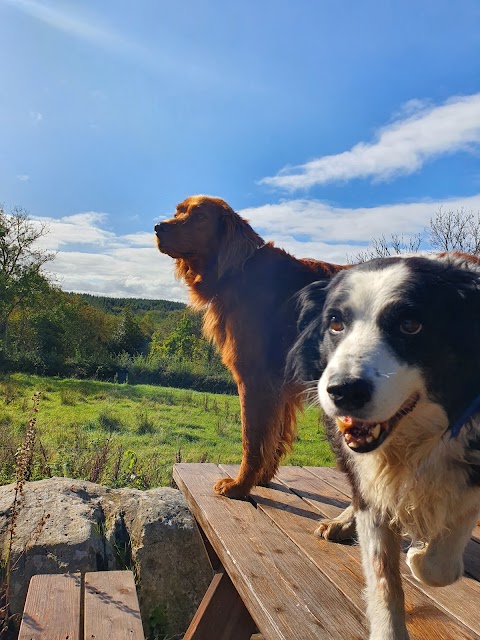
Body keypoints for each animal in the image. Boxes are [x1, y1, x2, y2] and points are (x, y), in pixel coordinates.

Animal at [154, 196, 344, 500]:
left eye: (200, 217)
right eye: (178, 212)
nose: (158, 227)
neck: (238, 272)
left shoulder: (253, 378)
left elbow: (251, 440)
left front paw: (240, 485)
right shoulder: (280, 387)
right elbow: (274, 439)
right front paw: (263, 478)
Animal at [286, 255, 480, 640]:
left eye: (410, 325)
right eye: (335, 323)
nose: (344, 391)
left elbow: (441, 559)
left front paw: (419, 554)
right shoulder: (369, 476)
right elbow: (381, 573)